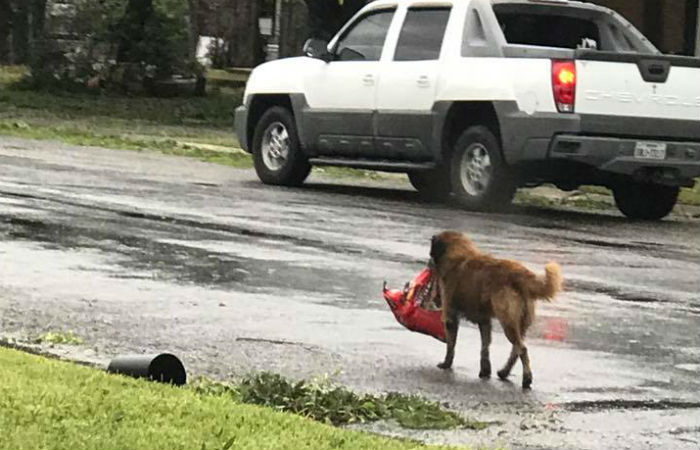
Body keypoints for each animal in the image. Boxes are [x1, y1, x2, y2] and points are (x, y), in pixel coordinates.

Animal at [430, 230, 560, 388]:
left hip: (508, 322)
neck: (459, 254)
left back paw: (526, 379)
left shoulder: (450, 316)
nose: (429, 262)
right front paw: (485, 371)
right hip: (520, 324)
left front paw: (446, 364)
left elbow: (451, 345)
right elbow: (485, 347)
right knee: (516, 349)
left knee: (522, 348)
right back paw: (504, 372)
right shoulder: (484, 321)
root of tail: (520, 273)